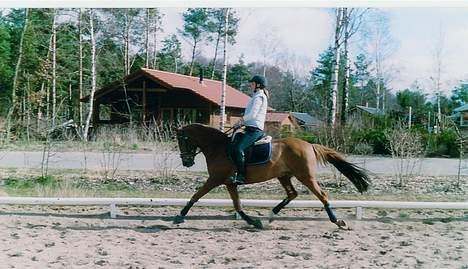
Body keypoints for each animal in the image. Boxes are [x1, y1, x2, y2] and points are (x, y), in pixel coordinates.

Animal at [172, 123, 370, 228]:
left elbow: (196, 195)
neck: (218, 147)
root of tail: (310, 145)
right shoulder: (230, 183)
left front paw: (179, 216)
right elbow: (238, 206)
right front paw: (253, 222)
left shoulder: (215, 179)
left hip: (305, 176)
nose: (186, 162)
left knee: (322, 195)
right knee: (292, 194)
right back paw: (271, 215)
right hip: (284, 176)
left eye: (182, 140)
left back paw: (337, 221)